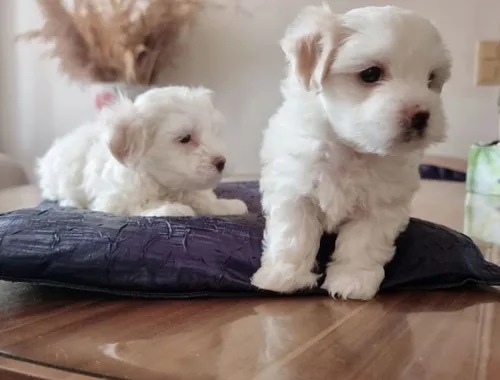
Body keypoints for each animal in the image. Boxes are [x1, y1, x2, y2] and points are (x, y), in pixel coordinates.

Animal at [38, 85, 249, 217]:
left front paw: (227, 205)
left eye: (214, 133)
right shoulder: (115, 199)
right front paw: (173, 208)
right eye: (185, 138)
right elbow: (141, 204)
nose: (222, 162)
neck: (165, 184)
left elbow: (203, 198)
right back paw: (70, 202)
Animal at [252, 3, 452, 300]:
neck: (351, 148)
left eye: (430, 79)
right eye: (370, 74)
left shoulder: (381, 203)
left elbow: (363, 243)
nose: (421, 115)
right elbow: (293, 236)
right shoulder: (294, 189)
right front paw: (284, 277)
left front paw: (353, 281)